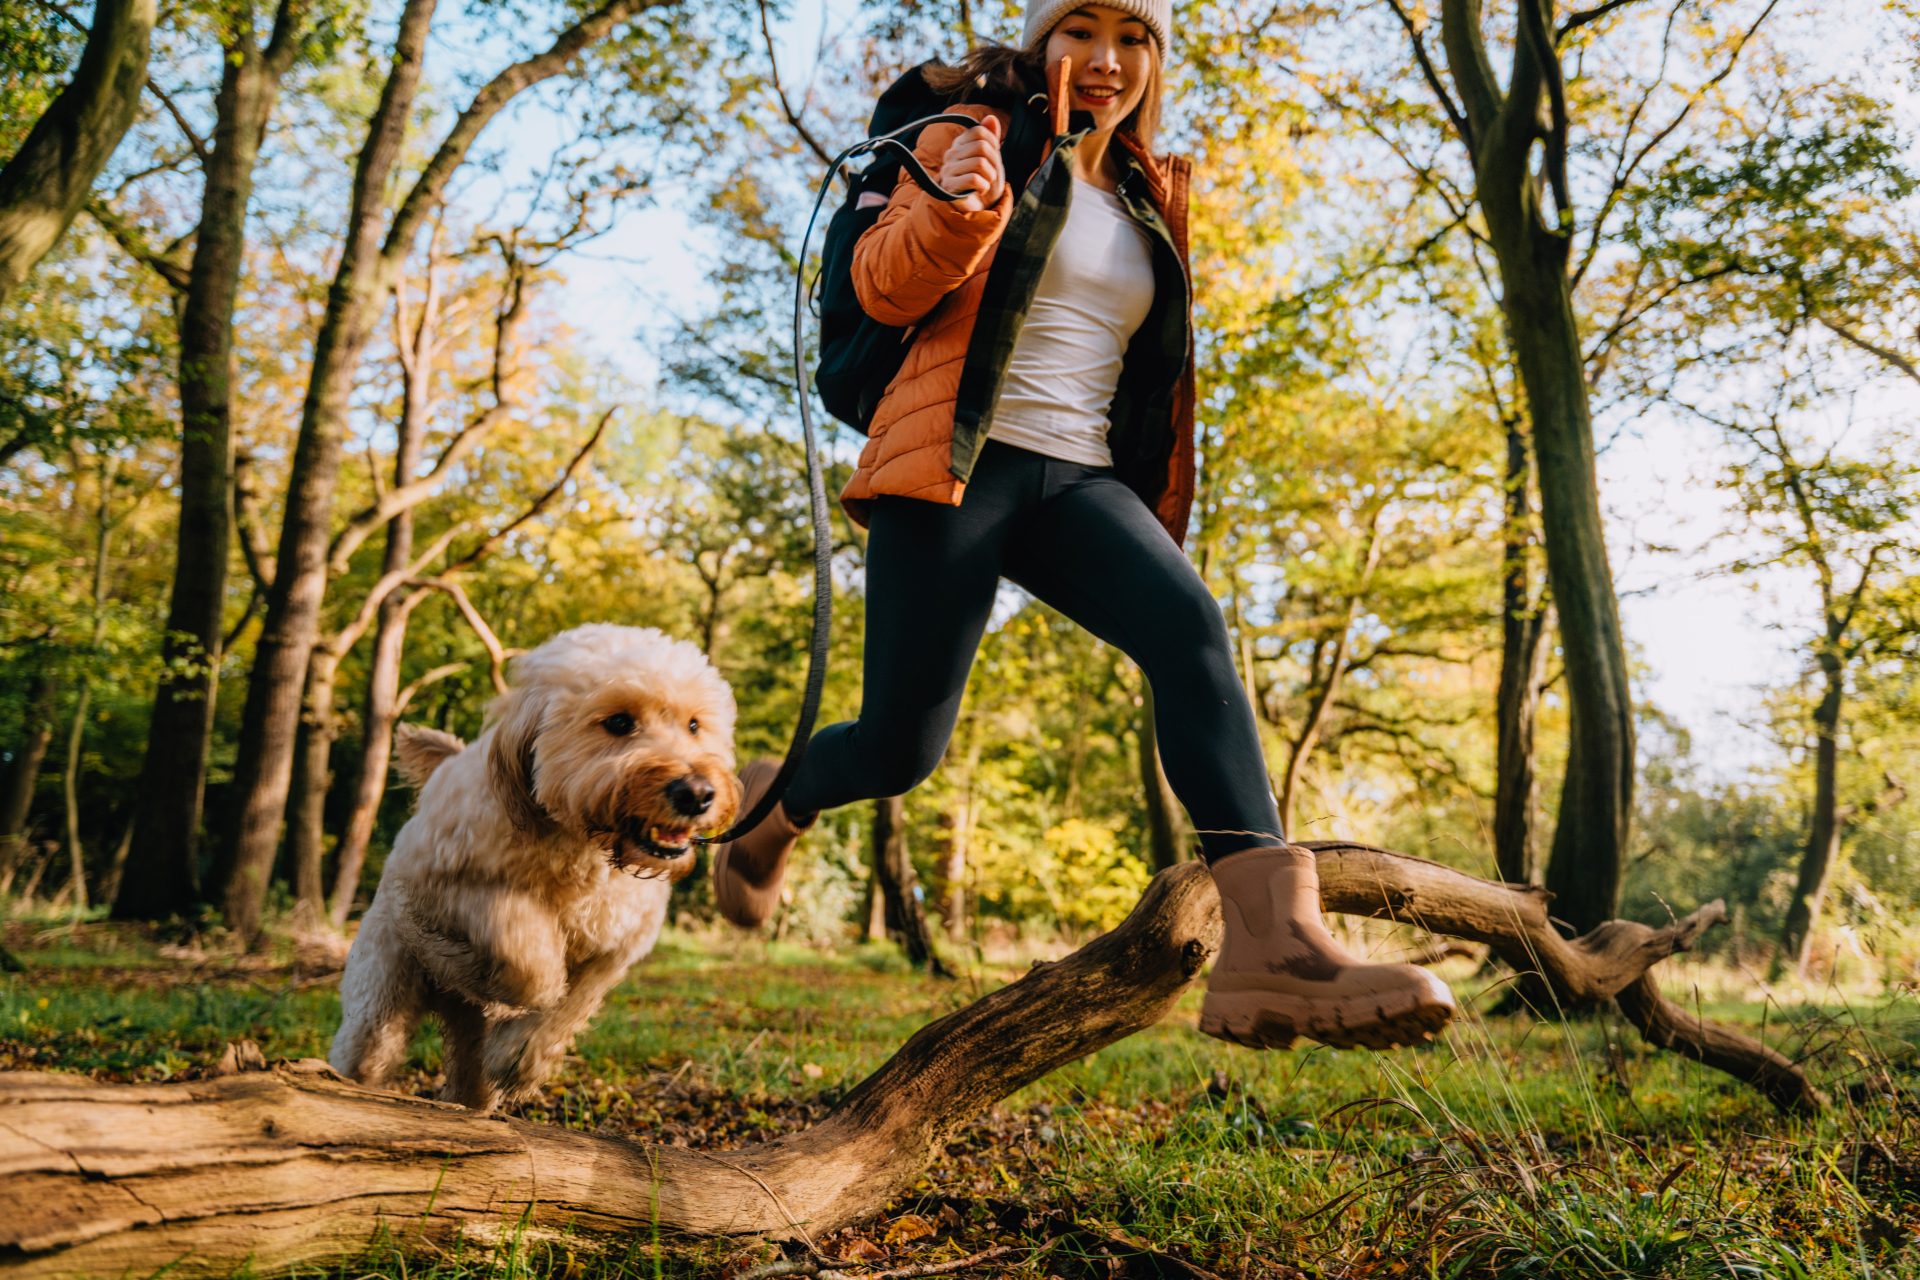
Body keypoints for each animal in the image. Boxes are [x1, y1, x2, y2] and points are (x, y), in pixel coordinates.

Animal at [330, 621, 741, 1113]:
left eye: (694, 724)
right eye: (619, 722)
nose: (697, 793)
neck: (583, 846)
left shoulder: (618, 945)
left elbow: (571, 1000)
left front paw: (519, 1058)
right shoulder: (439, 886)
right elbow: (528, 950)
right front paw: (506, 986)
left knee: (470, 1078)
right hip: (379, 1006)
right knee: (365, 1053)